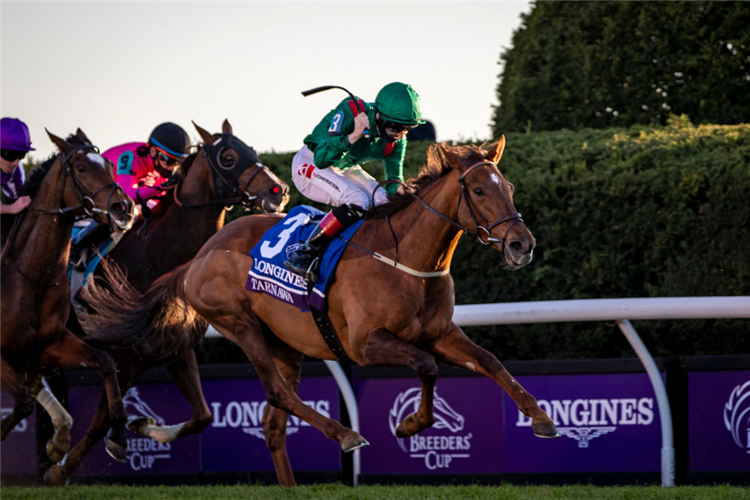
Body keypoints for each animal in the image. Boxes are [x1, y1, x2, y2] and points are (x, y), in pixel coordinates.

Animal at [0, 130, 134, 464]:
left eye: (110, 166)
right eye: (81, 168)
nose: (123, 208)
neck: (30, 275)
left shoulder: (46, 346)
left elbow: (105, 361)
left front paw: (117, 437)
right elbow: (22, 402)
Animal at [37, 120, 290, 484]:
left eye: (252, 150)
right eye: (227, 157)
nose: (278, 190)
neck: (156, 255)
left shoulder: (175, 350)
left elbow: (203, 416)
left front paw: (146, 427)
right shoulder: (123, 357)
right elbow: (102, 421)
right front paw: (62, 469)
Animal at [79, 139, 560, 486]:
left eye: (508, 188)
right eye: (478, 190)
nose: (522, 244)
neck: (406, 258)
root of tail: (199, 256)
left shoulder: (441, 333)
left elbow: (490, 362)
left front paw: (540, 418)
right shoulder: (366, 345)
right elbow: (425, 366)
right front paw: (410, 425)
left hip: (286, 344)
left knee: (274, 424)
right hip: (241, 325)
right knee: (278, 394)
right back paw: (344, 433)